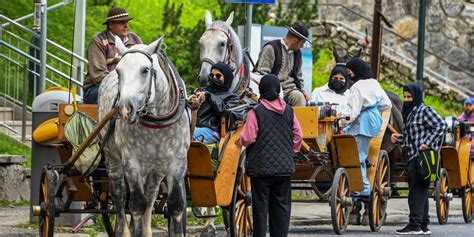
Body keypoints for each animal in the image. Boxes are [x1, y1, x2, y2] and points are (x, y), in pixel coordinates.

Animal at [99, 35, 190, 237]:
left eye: (145, 70)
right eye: (118, 70)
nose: (125, 109)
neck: (156, 121)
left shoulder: (177, 162)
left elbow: (176, 205)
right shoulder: (132, 163)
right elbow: (136, 206)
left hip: (156, 169)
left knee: (150, 196)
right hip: (112, 158)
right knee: (119, 197)